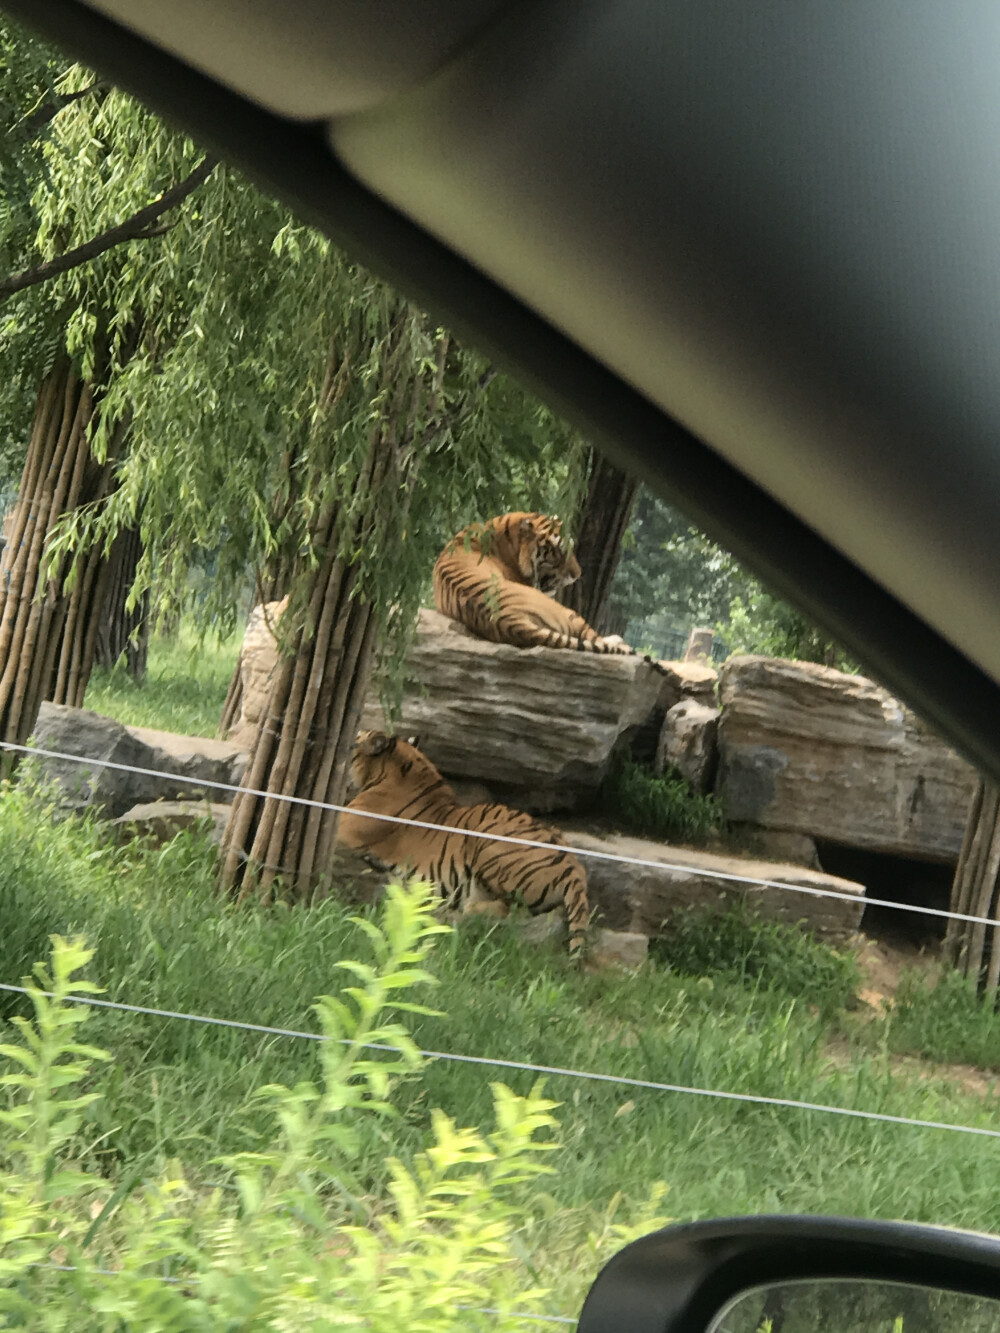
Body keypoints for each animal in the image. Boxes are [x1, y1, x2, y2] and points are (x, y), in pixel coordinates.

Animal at [344, 730, 594, 959]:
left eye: (355, 742)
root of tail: (574, 869)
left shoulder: (346, 826)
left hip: (488, 844)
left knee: (508, 908)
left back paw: (461, 911)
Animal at [432, 509, 634, 655]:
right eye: (557, 551)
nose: (577, 575)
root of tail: (510, 621)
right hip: (567, 612)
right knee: (595, 638)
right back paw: (619, 641)